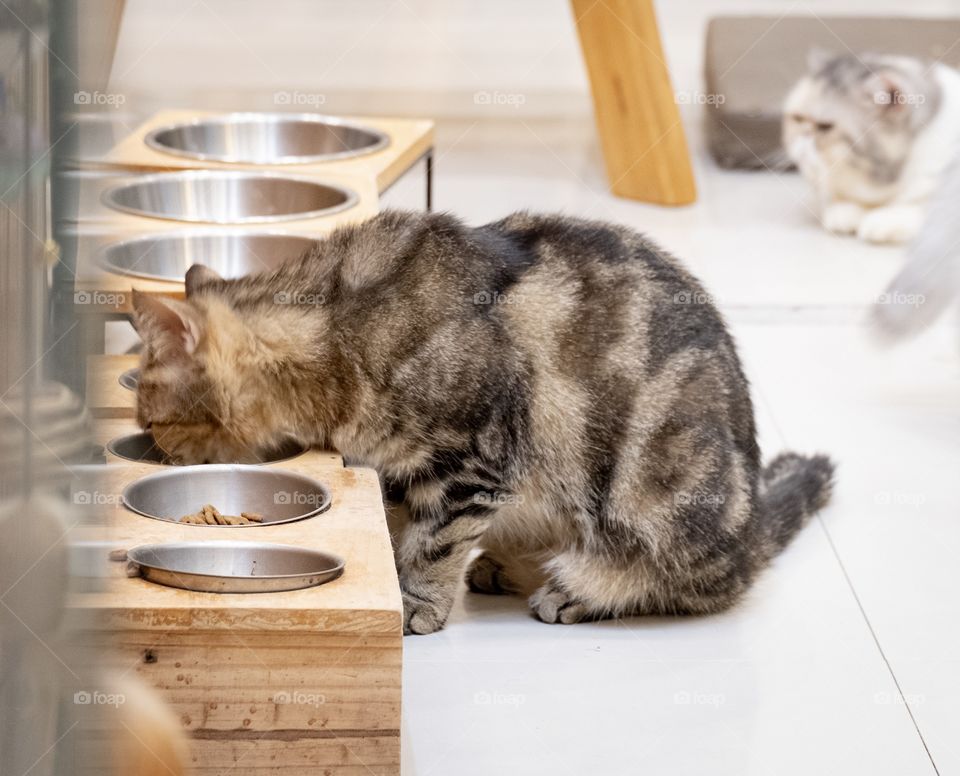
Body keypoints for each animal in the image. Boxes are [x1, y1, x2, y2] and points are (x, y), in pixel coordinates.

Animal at [131, 209, 836, 632]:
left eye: (151, 414)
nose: (147, 444)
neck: (340, 326)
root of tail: (750, 522)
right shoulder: (396, 472)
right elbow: (397, 529)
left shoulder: (473, 465)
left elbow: (432, 544)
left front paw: (417, 601)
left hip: (667, 496)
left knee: (699, 583)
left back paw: (580, 586)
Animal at [780, 51, 960, 244]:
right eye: (798, 118)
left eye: (825, 127)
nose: (803, 136)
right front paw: (846, 212)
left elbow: (922, 207)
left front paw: (883, 220)